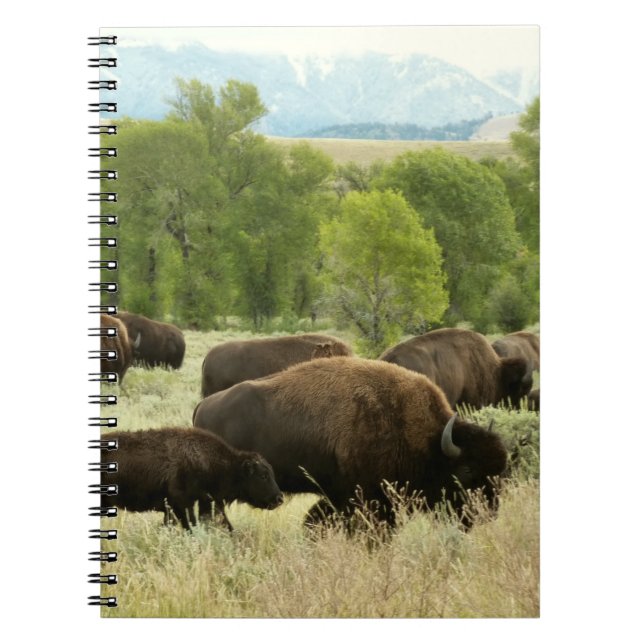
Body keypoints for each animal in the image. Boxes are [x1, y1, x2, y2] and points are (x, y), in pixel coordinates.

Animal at [193, 357, 508, 528]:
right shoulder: (369, 497)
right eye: (466, 471)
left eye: (500, 471)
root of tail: (203, 406)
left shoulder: (341, 495)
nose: (488, 513)